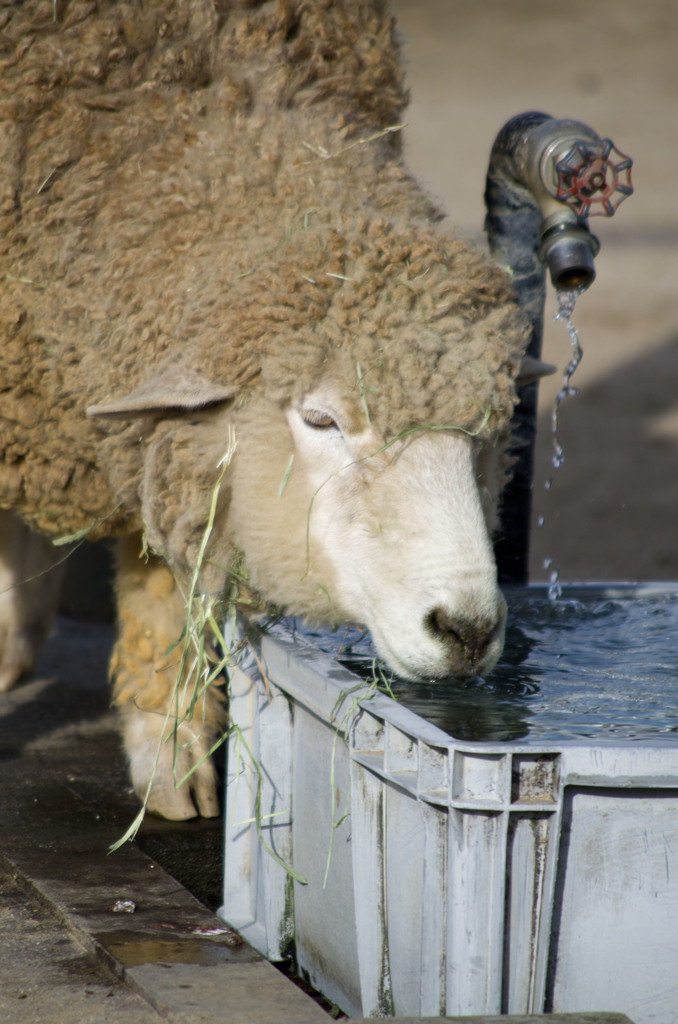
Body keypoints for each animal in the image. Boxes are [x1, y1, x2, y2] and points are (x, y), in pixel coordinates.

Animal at [0, 0, 536, 819]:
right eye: (320, 420)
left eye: (491, 432)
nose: (467, 628)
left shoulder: (171, 449)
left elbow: (164, 589)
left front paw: (173, 758)